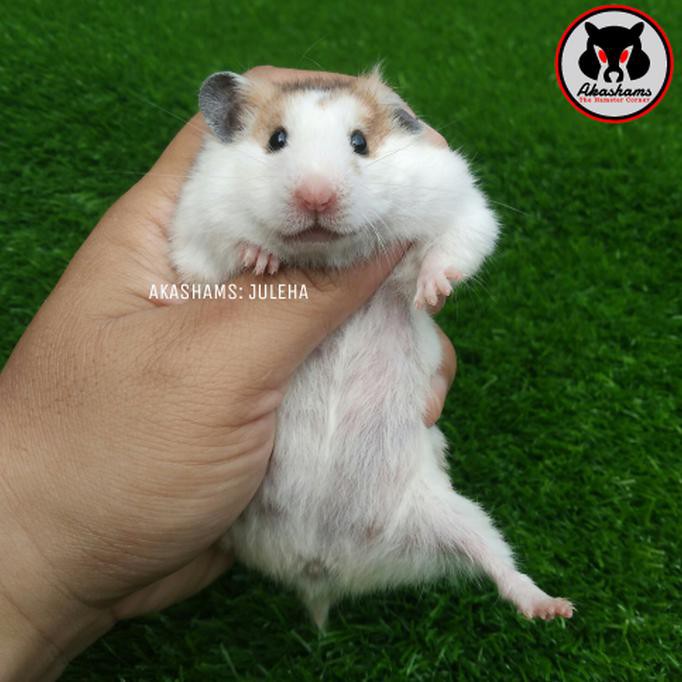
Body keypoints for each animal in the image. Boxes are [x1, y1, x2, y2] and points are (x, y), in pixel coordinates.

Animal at [170, 68, 573, 628]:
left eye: (360, 142)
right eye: (276, 140)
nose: (316, 197)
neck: (327, 253)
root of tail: (320, 570)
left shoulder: (463, 204)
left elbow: (452, 248)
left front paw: (432, 292)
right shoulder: (194, 229)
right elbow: (219, 252)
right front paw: (261, 261)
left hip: (456, 516)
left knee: (498, 564)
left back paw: (554, 609)